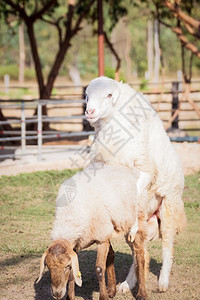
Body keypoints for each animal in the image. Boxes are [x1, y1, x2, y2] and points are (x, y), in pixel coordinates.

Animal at [36, 164, 157, 300]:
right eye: (48, 266)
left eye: (67, 266)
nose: (57, 294)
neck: (70, 217)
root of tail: (130, 170)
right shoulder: (77, 245)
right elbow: (74, 274)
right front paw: (70, 297)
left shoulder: (101, 239)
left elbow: (99, 269)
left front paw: (103, 296)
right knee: (112, 255)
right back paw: (112, 290)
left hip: (134, 221)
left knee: (140, 256)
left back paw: (142, 293)